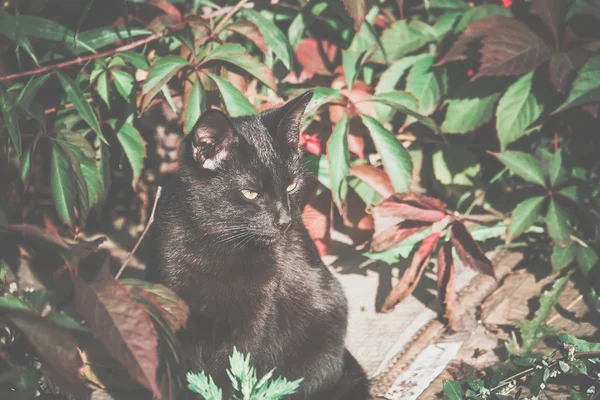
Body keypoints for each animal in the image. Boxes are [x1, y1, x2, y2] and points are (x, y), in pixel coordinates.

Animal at [150, 92, 370, 398]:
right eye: (250, 193)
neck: (219, 247)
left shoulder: (253, 323)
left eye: (291, 186)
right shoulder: (179, 317)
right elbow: (189, 378)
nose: (284, 220)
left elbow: (233, 376)